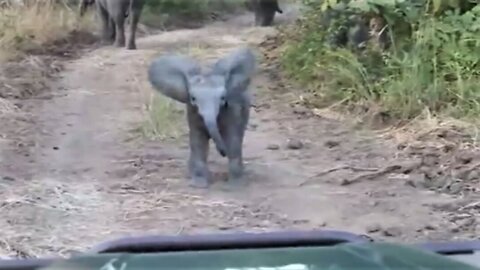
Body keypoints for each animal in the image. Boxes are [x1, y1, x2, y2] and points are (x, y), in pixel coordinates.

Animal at [148, 48, 256, 188]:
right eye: (193, 98)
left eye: (223, 98)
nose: (223, 152)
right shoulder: (193, 113)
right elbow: (198, 142)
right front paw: (199, 184)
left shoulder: (232, 110)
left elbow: (233, 140)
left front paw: (236, 185)